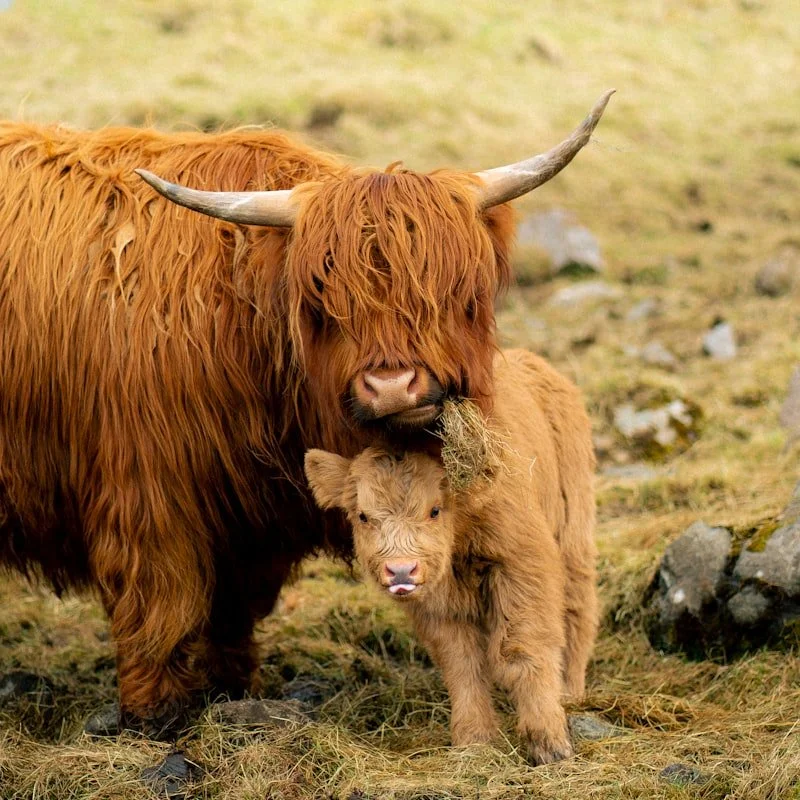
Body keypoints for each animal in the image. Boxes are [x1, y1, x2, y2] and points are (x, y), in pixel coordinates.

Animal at [304, 349, 597, 764]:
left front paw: (549, 743)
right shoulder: (438, 606)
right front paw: (475, 741)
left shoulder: (522, 565)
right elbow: (462, 664)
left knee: (577, 609)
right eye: (362, 515)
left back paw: (571, 692)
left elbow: (524, 648)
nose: (401, 570)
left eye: (434, 510)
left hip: (573, 532)